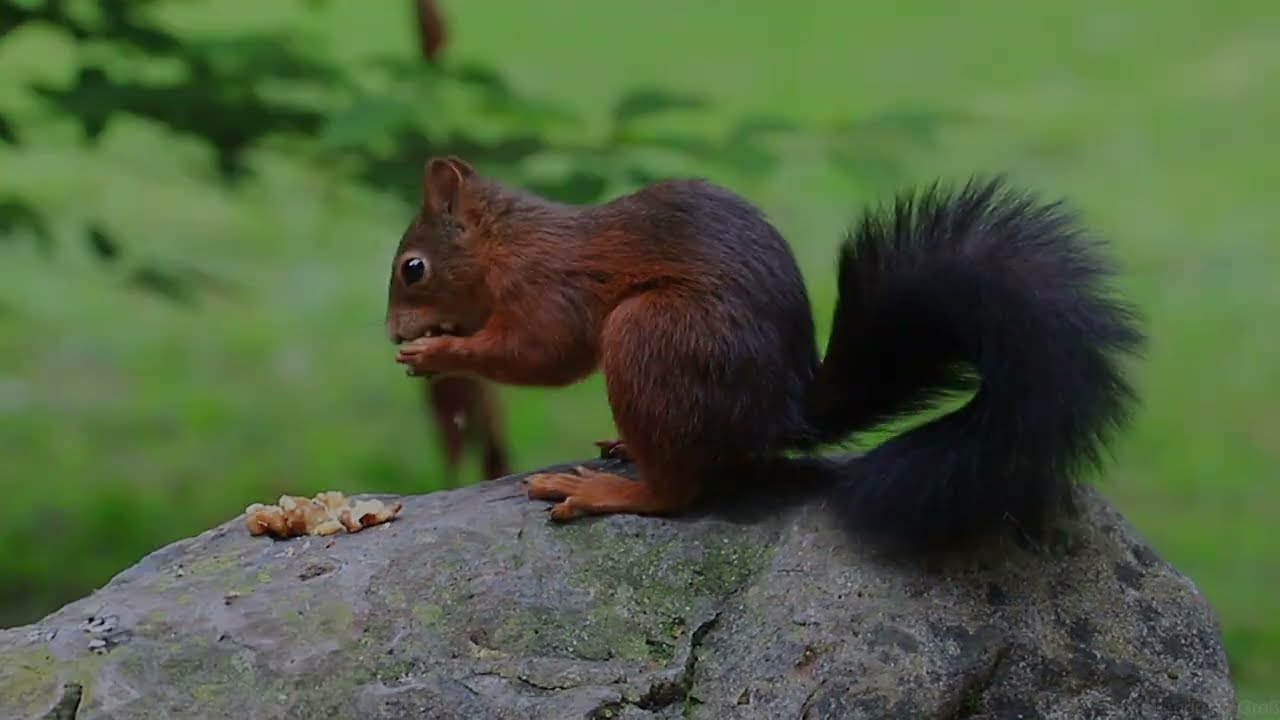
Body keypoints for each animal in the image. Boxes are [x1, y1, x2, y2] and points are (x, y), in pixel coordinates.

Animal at [385, 156, 1144, 551]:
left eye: (413, 268)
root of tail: (779, 414)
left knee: (675, 493)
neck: (508, 244)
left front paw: (440, 351)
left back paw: (606, 490)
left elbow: (544, 352)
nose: (393, 331)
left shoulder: (550, 287)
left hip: (651, 334)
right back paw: (625, 450)